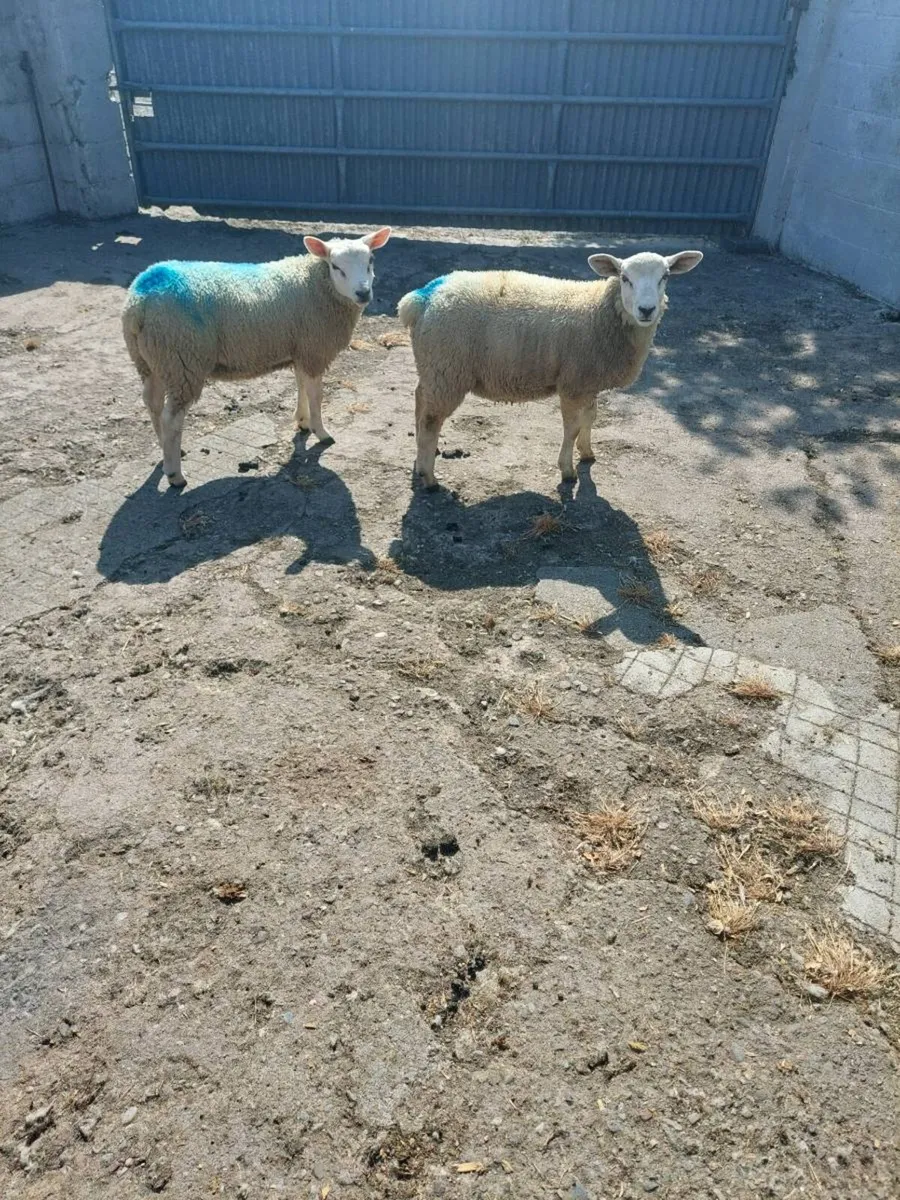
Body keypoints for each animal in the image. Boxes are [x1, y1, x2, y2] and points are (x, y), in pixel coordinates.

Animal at [122, 227, 392, 488]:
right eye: (335, 266)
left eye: (370, 260)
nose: (363, 293)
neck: (315, 283)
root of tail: (139, 301)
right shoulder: (314, 349)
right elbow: (316, 395)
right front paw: (321, 431)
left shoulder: (301, 348)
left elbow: (301, 386)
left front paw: (303, 422)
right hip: (182, 360)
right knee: (171, 419)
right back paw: (175, 474)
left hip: (153, 361)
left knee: (153, 403)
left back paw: (166, 452)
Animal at [397, 249, 703, 489]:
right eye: (625, 278)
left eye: (665, 276)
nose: (646, 310)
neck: (600, 311)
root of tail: (422, 298)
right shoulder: (573, 383)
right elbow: (572, 427)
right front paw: (567, 471)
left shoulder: (588, 381)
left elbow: (591, 418)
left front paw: (587, 453)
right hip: (447, 370)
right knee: (431, 420)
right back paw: (429, 477)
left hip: (433, 367)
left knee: (420, 401)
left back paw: (420, 460)